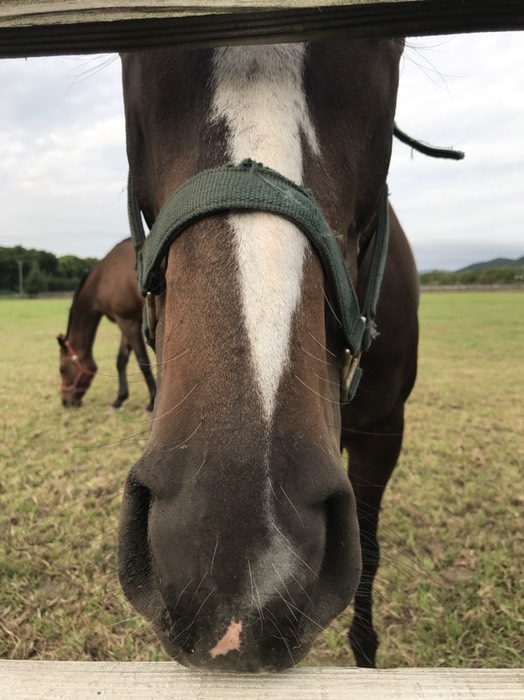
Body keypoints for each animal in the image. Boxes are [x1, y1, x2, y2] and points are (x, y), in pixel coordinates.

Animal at [57, 238, 156, 411]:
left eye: (62, 369)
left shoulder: (128, 322)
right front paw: (120, 398)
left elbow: (143, 360)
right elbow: (121, 360)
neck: (102, 279)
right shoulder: (126, 321)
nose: (66, 402)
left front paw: (152, 402)